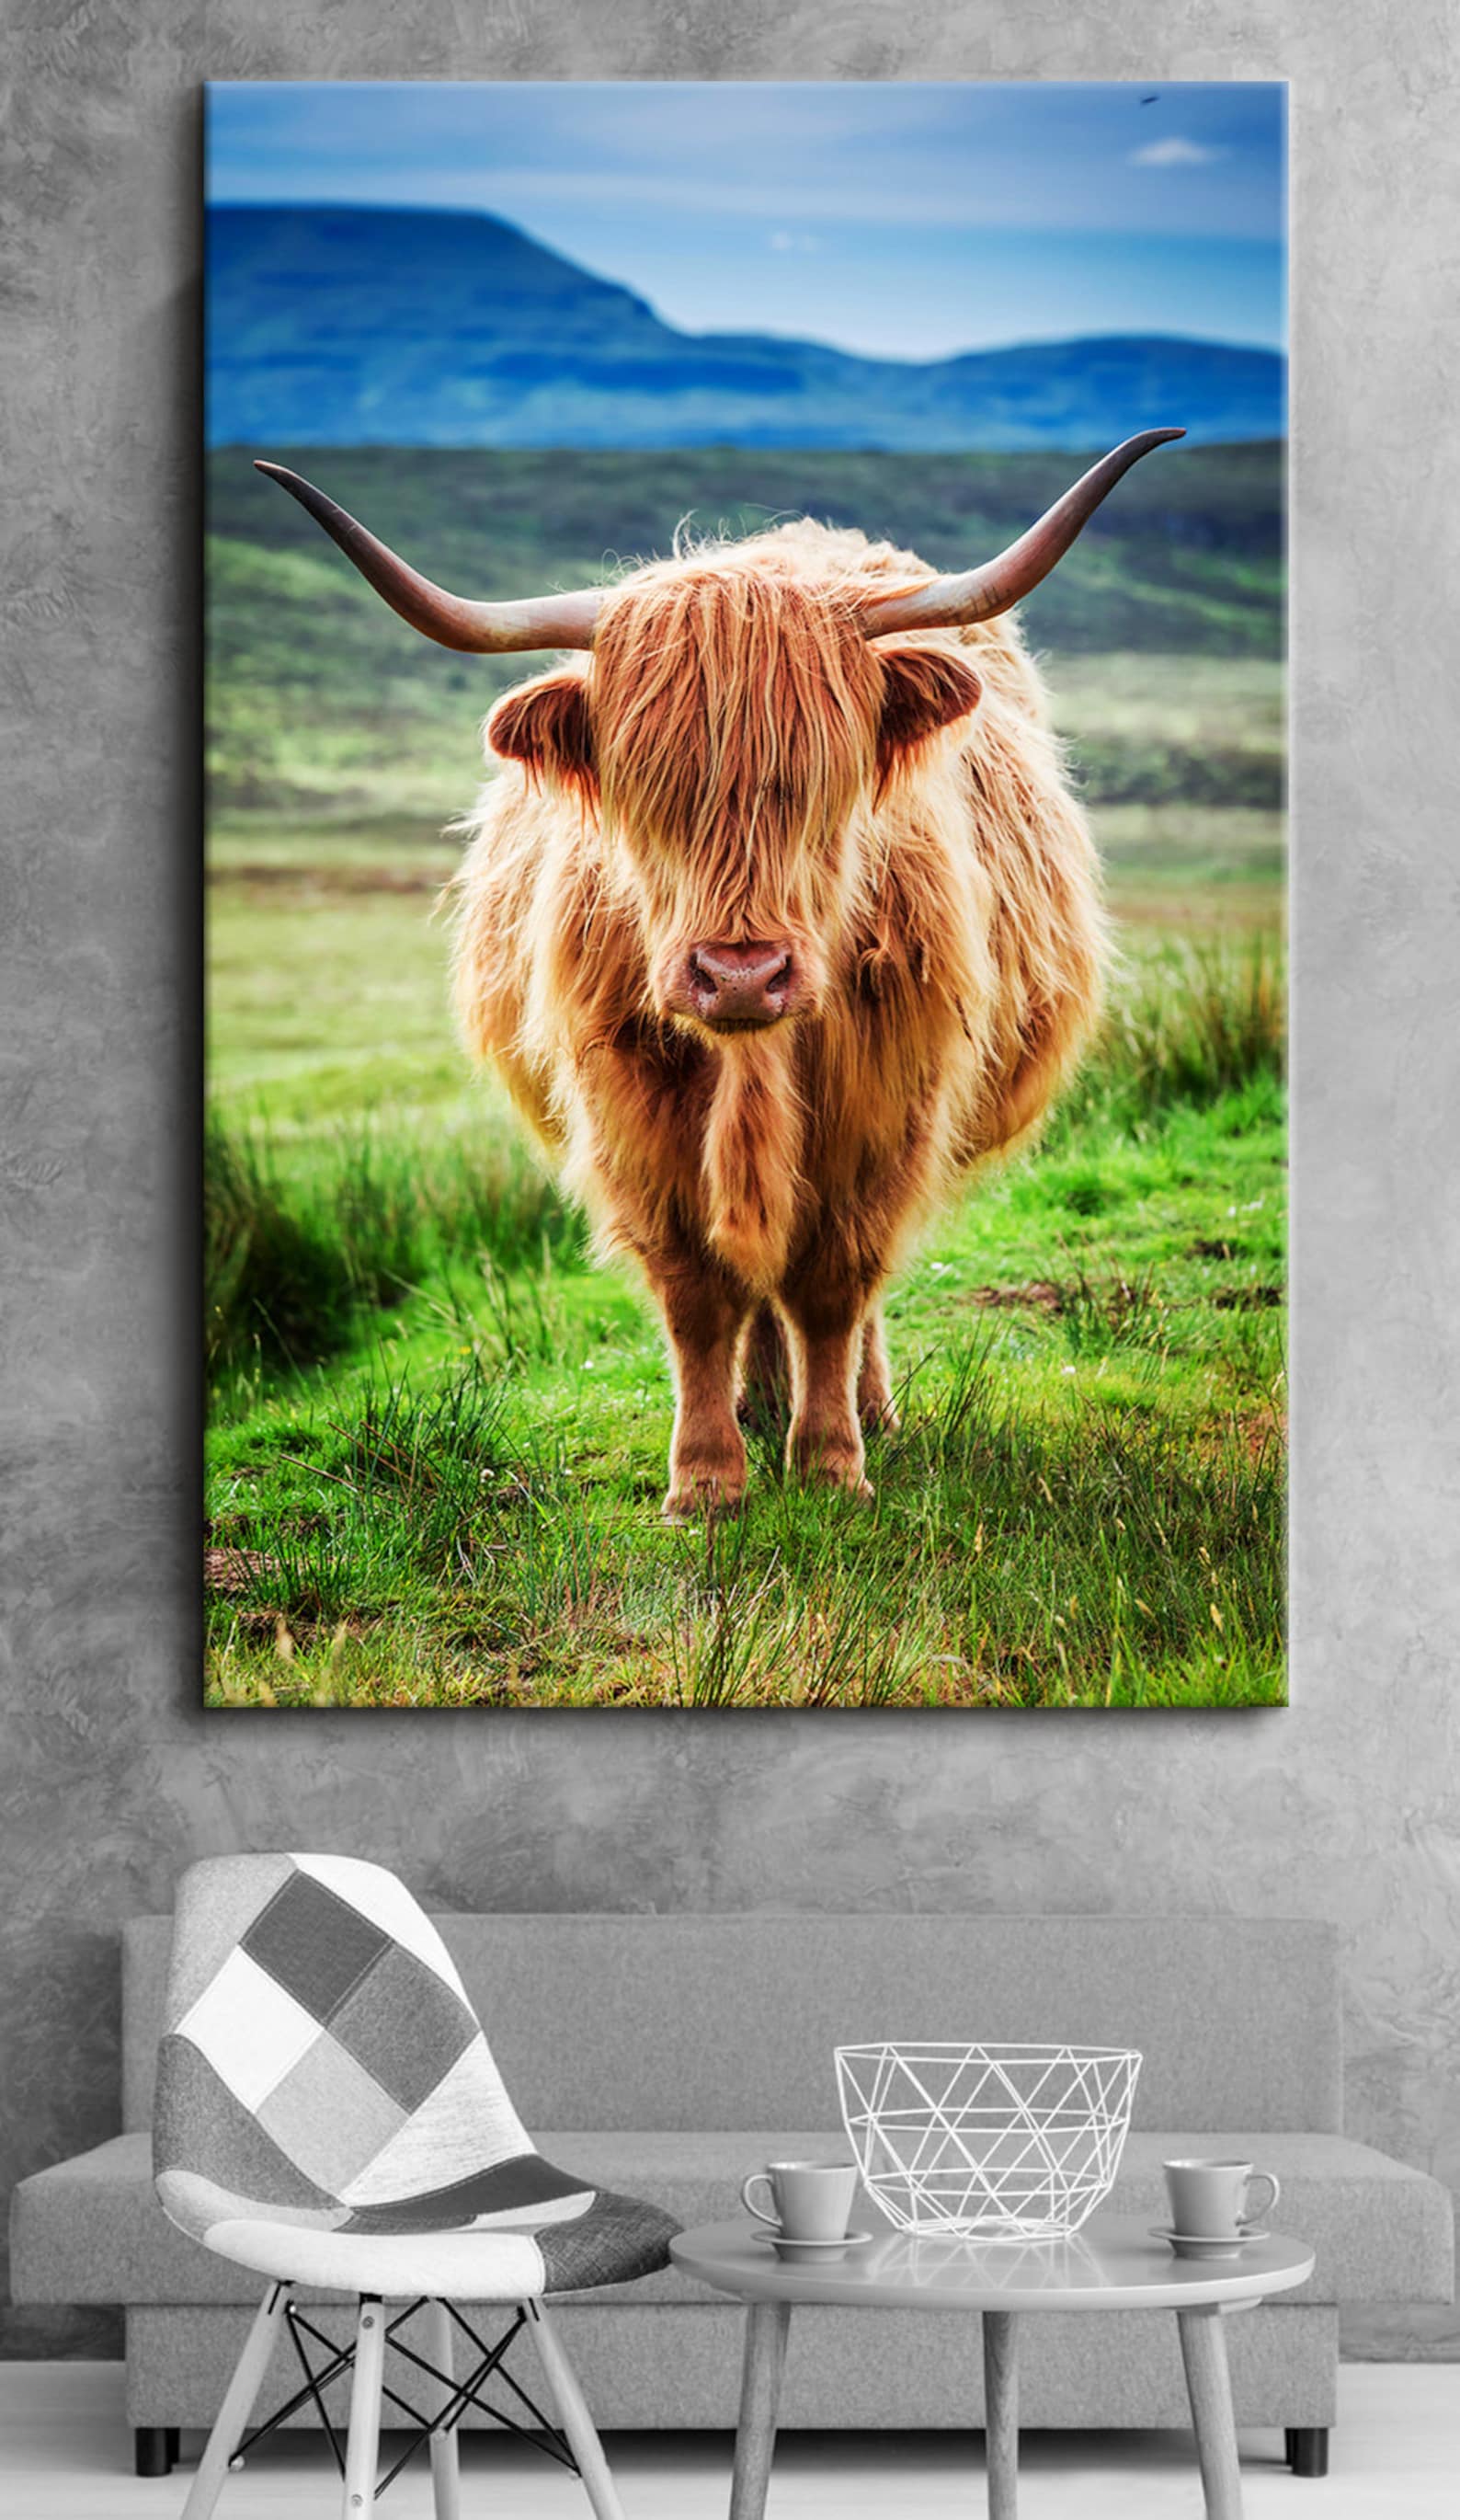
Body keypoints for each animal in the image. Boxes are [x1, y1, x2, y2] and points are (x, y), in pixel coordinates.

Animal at [258, 432, 1182, 1520]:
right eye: (646, 788)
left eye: (825, 781)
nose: (741, 976)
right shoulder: (632, 1110)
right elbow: (699, 1293)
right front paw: (704, 1479)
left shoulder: (885, 1108)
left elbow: (834, 1284)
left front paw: (830, 1463)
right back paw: (757, 1403)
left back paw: (863, 1408)